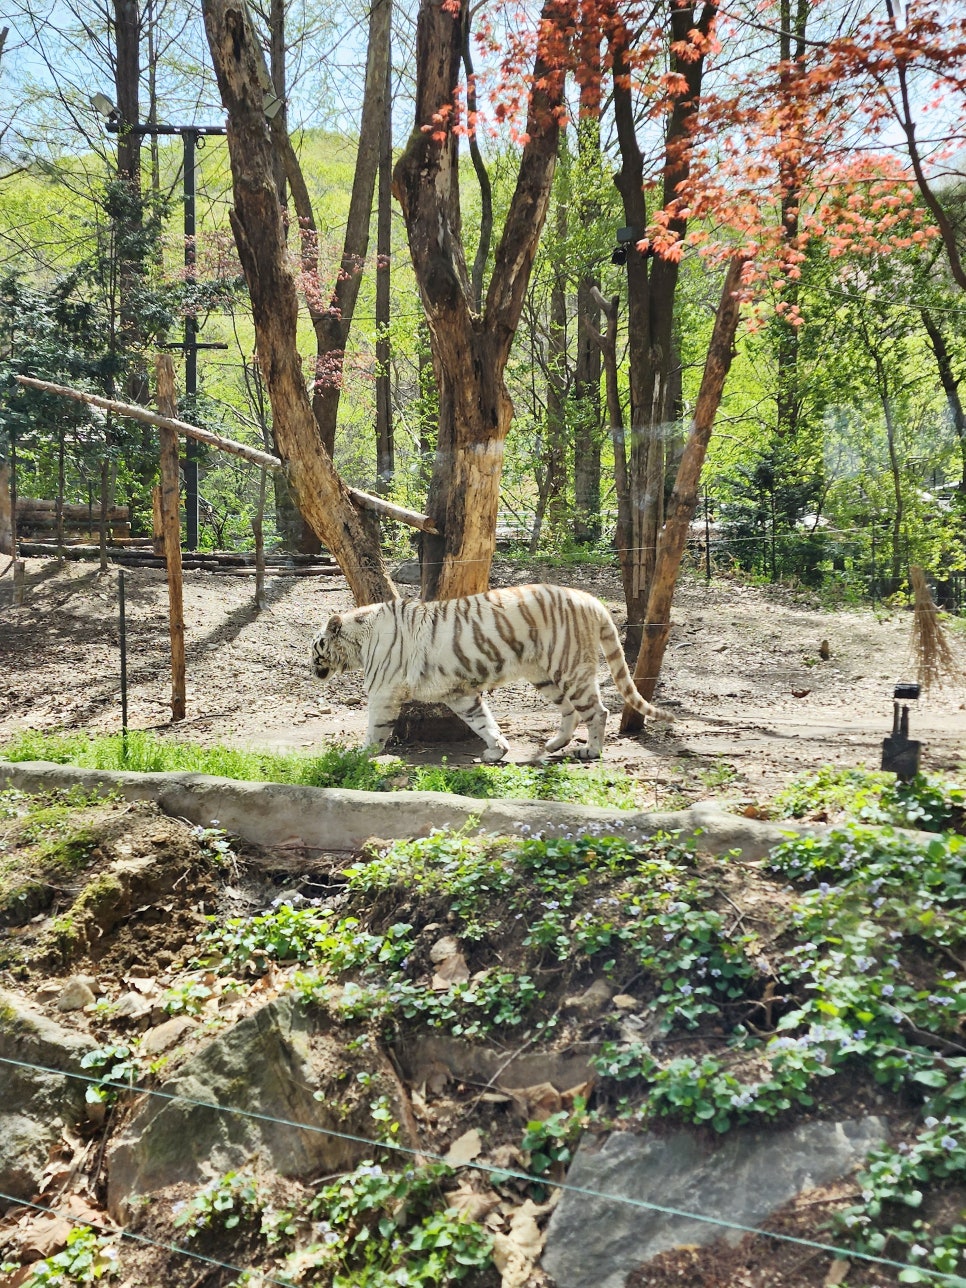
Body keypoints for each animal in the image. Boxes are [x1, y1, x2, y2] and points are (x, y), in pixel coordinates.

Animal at [310, 587, 674, 757]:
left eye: (316, 647)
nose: (310, 668)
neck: (359, 641)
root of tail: (590, 599)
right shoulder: (458, 693)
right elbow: (482, 721)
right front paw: (498, 750)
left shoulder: (383, 692)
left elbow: (375, 727)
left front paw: (360, 754)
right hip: (543, 675)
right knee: (569, 710)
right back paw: (555, 743)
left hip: (570, 668)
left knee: (597, 711)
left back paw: (591, 751)